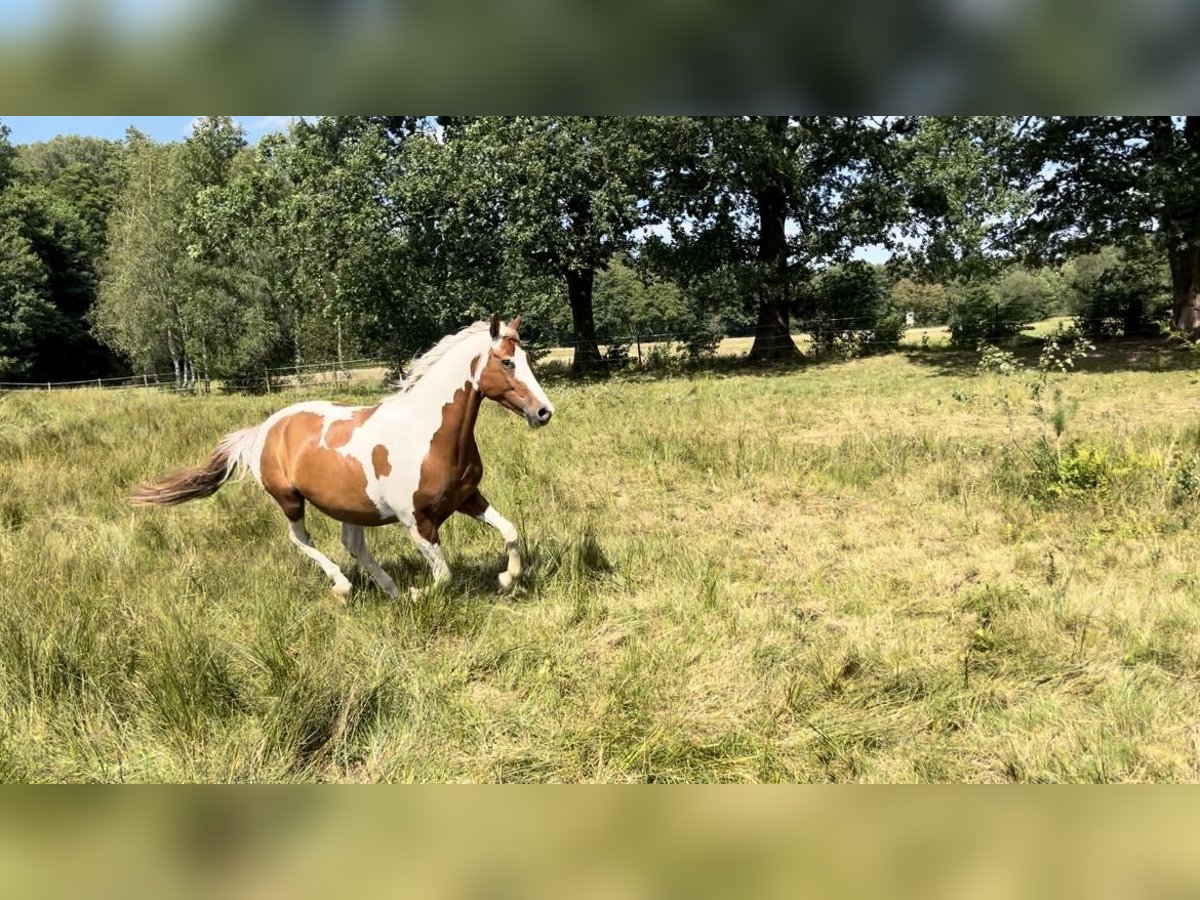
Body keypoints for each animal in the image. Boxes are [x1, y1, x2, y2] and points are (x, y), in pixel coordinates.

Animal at [133, 314, 554, 602]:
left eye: (525, 357)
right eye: (507, 362)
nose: (544, 412)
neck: (427, 433)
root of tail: (265, 429)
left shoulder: (467, 498)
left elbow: (510, 531)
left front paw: (505, 579)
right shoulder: (417, 522)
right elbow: (444, 575)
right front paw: (419, 594)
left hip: (350, 505)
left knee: (353, 544)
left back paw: (389, 589)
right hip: (290, 500)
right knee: (300, 539)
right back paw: (344, 586)